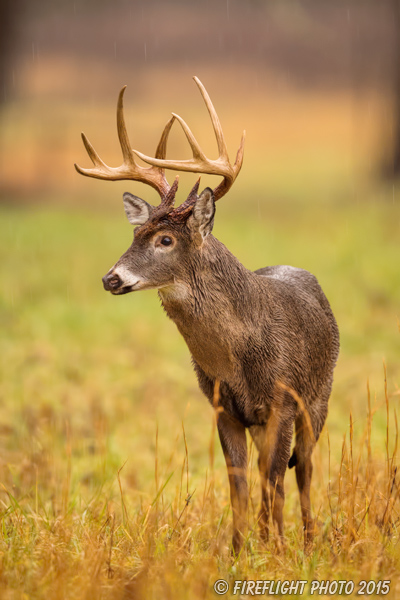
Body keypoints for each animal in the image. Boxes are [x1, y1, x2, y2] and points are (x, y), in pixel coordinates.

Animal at [74, 77, 338, 556]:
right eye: (135, 234)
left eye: (164, 240)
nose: (111, 278)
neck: (240, 356)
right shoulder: (222, 406)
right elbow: (239, 483)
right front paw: (239, 550)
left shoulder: (284, 400)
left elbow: (275, 479)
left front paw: (274, 550)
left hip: (319, 399)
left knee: (304, 469)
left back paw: (309, 540)